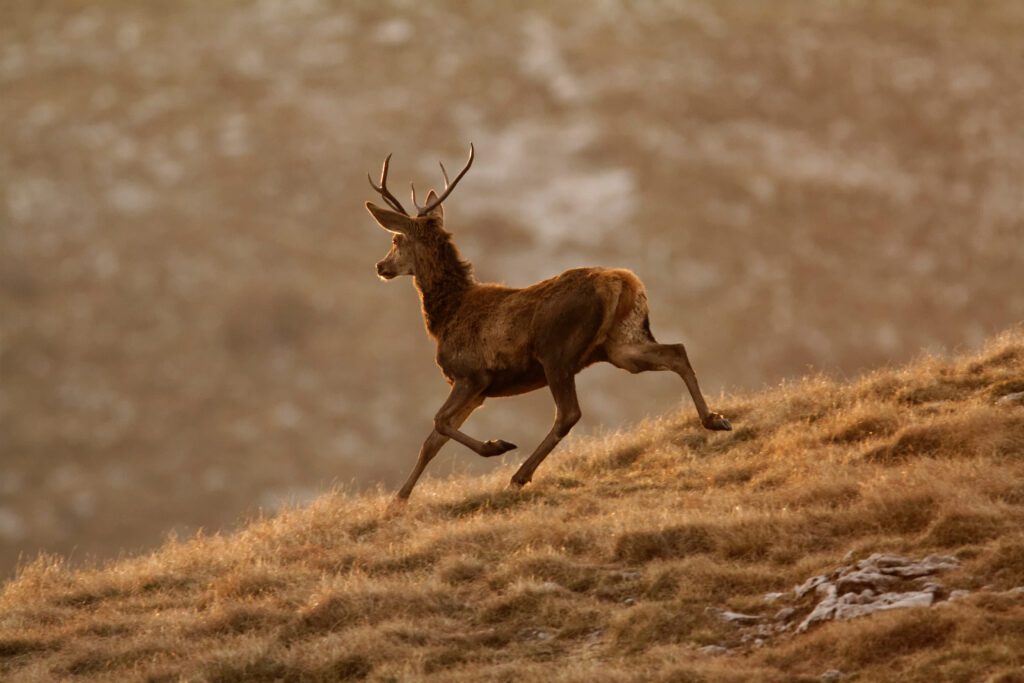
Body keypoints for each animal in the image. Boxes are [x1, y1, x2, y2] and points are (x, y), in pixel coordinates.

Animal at [364, 145, 733, 501]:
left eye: (396, 239)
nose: (381, 266)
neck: (446, 315)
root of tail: (622, 282)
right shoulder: (478, 388)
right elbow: (430, 443)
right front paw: (398, 501)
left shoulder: (471, 374)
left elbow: (439, 423)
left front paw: (496, 445)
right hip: (620, 343)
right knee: (676, 351)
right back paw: (714, 419)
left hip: (557, 351)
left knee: (568, 413)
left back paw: (519, 475)